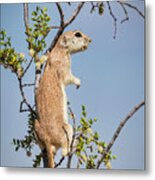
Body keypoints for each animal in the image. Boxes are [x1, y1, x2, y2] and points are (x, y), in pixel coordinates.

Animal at [34, 30, 91, 167]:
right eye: (77, 34)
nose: (90, 40)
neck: (59, 49)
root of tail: (47, 138)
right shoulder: (63, 65)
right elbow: (69, 77)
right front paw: (78, 83)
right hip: (68, 128)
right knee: (64, 151)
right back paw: (72, 147)